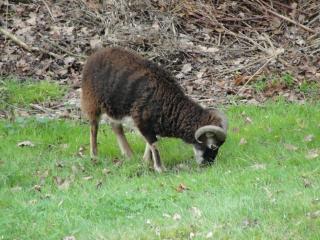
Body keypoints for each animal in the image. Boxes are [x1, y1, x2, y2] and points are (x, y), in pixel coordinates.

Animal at [80, 47, 228, 172]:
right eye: (213, 146)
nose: (208, 165)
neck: (170, 103)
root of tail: (95, 55)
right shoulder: (142, 122)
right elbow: (154, 144)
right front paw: (160, 168)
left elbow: (150, 144)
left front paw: (146, 161)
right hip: (92, 102)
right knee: (94, 127)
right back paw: (94, 155)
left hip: (115, 108)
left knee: (116, 127)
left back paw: (129, 155)